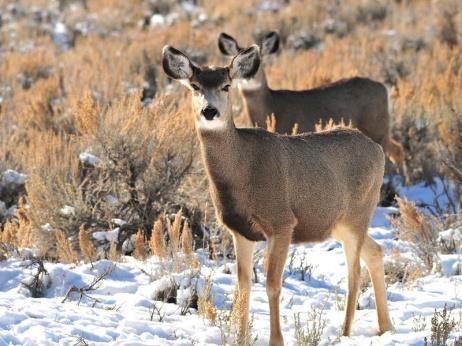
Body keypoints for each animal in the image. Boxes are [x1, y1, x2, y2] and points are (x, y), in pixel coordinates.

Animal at [162, 42, 394, 344]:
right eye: (194, 86)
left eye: (226, 85)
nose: (209, 111)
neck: (242, 172)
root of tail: (377, 150)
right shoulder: (240, 231)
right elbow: (243, 285)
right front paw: (240, 338)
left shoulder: (282, 222)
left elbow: (272, 284)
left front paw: (276, 339)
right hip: (338, 223)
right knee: (375, 252)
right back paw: (386, 327)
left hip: (358, 213)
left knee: (353, 271)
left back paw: (345, 333)